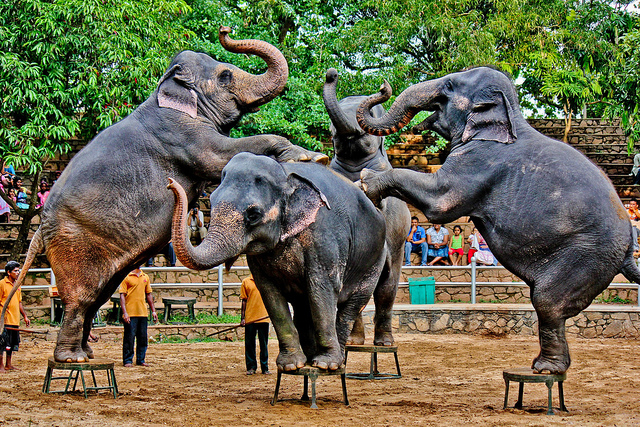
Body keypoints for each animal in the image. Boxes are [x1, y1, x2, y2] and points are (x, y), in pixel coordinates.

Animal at [0, 25, 328, 364]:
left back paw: (87, 353)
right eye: (225, 75)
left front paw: (313, 158)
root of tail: (39, 230)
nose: (224, 30)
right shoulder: (180, 133)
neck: (166, 90)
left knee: (99, 294)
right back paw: (71, 359)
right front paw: (314, 158)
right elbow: (221, 156)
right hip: (73, 243)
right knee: (82, 296)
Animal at [168, 153, 384, 372]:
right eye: (211, 202)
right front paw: (290, 366)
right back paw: (310, 358)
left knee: (351, 305)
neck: (285, 174)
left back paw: (334, 363)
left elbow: (322, 287)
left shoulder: (324, 236)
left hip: (375, 261)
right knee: (304, 306)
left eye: (253, 214)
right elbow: (270, 294)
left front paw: (324, 364)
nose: (170, 183)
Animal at [322, 68, 408, 346]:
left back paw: (384, 342)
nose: (331, 73)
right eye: (331, 132)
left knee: (387, 287)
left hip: (398, 244)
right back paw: (354, 342)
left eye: (368, 129)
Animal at [356, 66, 640, 374]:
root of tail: (628, 247)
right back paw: (545, 366)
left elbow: (441, 201)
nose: (383, 86)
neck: (511, 118)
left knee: (547, 301)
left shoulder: (480, 161)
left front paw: (365, 182)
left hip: (588, 256)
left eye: (449, 85)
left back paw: (545, 369)